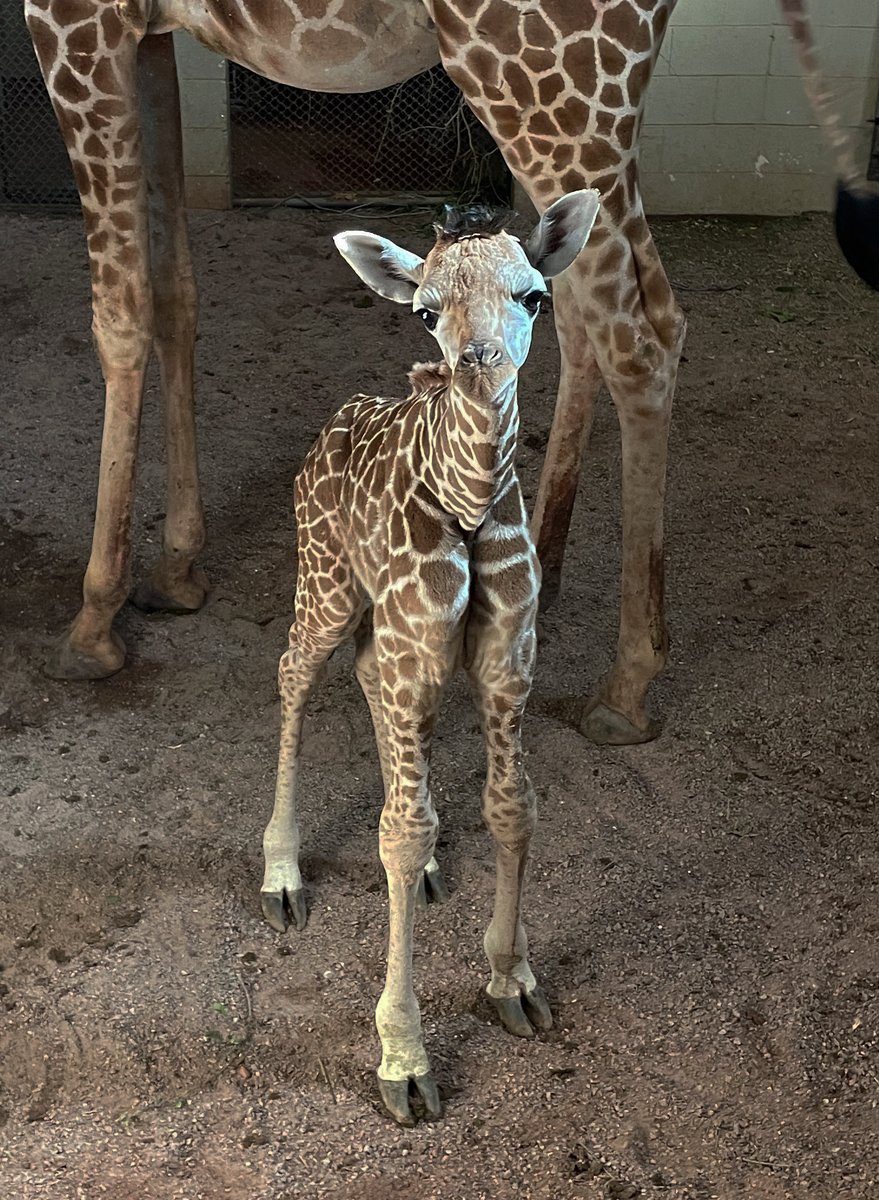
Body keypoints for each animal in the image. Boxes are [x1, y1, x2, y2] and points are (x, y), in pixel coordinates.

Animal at [23, 0, 869, 746]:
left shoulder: (77, 17)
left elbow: (121, 318)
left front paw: (93, 621)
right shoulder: (150, 32)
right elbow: (176, 294)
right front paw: (175, 569)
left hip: (538, 77)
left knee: (640, 333)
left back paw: (626, 686)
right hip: (594, 93)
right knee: (589, 307)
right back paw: (542, 564)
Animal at [261, 192, 600, 1126]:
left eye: (533, 296)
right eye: (424, 310)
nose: (476, 362)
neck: (467, 502)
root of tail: (335, 422)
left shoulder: (508, 660)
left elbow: (512, 808)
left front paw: (511, 978)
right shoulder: (421, 649)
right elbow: (399, 835)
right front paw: (403, 1059)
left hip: (384, 628)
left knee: (366, 683)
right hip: (326, 582)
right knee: (294, 672)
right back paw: (280, 871)